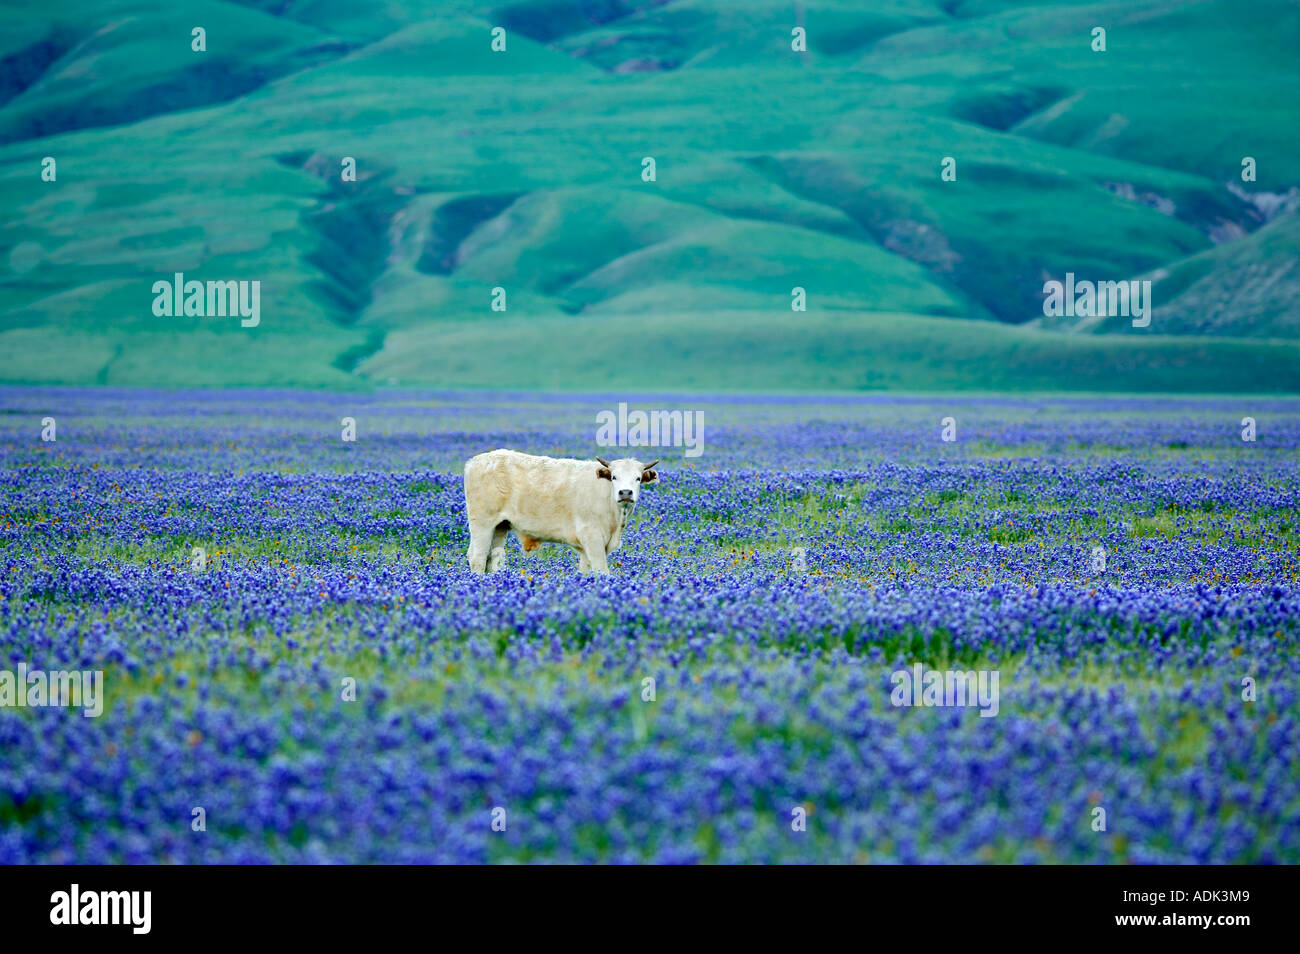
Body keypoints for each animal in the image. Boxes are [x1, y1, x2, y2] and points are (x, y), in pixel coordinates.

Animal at [462, 449, 660, 574]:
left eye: (638, 478)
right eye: (614, 477)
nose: (625, 493)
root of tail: (475, 461)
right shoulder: (592, 537)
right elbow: (602, 571)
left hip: (500, 526)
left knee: (493, 557)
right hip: (482, 524)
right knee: (477, 557)